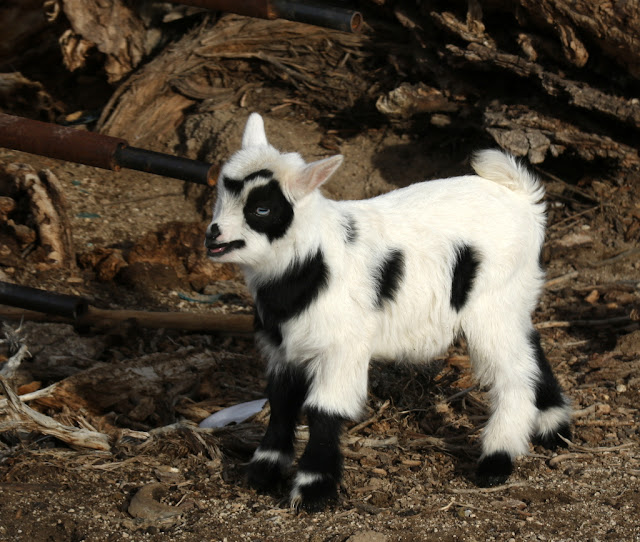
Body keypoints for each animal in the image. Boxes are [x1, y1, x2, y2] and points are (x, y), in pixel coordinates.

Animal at [205, 113, 572, 511]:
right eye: (221, 196)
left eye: (262, 208)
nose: (213, 235)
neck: (313, 259)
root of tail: (522, 199)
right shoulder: (283, 347)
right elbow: (281, 401)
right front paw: (264, 472)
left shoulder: (342, 346)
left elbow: (323, 410)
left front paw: (313, 489)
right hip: (513, 296)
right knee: (532, 346)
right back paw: (555, 427)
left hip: (491, 302)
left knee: (514, 373)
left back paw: (497, 460)